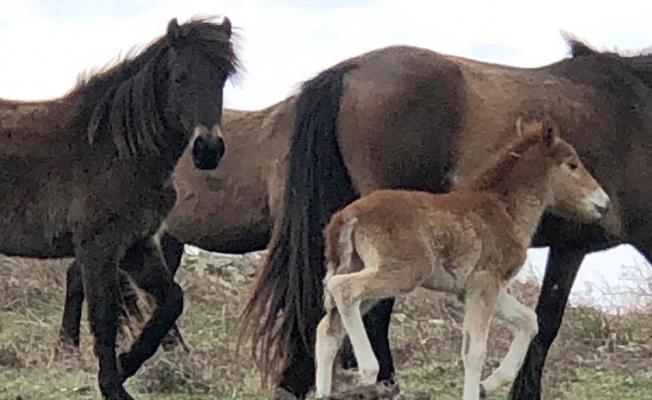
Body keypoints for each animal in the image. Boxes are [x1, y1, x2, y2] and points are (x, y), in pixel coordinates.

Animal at [0, 16, 239, 400]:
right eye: (179, 77)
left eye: (223, 77)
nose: (208, 150)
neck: (116, 148)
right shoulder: (100, 248)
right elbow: (105, 316)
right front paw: (113, 386)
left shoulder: (135, 245)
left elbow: (172, 299)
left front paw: (128, 362)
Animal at [316, 115, 612, 400]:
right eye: (572, 164)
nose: (604, 203)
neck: (505, 209)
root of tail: (347, 216)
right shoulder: (485, 282)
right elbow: (475, 351)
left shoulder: (477, 289)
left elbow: (529, 320)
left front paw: (487, 385)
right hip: (404, 272)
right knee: (344, 289)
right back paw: (369, 370)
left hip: (362, 269)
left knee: (328, 330)